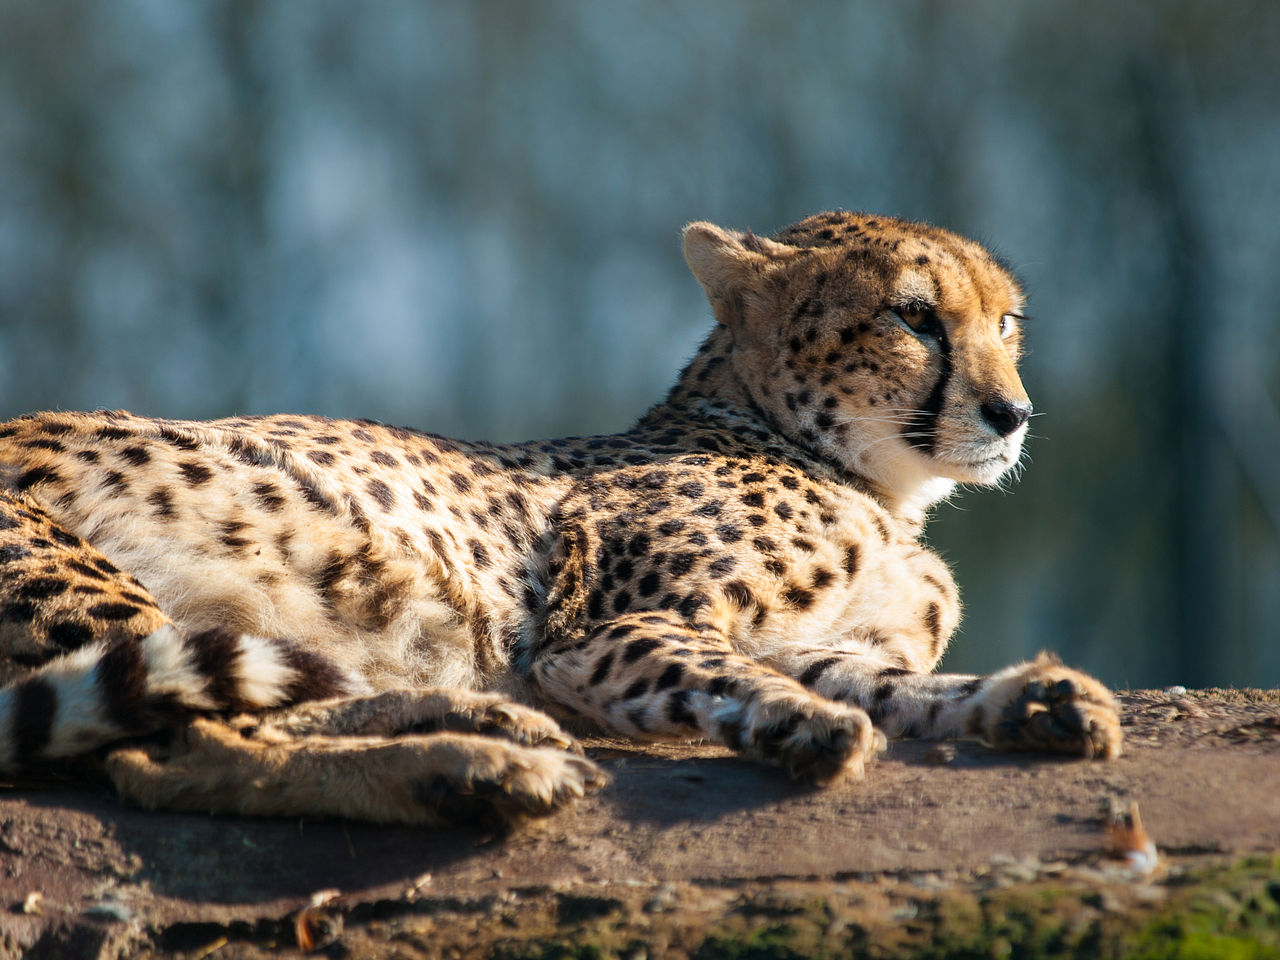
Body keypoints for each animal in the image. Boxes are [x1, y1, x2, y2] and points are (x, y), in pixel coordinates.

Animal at [0, 213, 1121, 829]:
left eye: (1005, 322)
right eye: (913, 317)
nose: (1012, 412)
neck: (874, 486)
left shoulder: (827, 643)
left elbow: (904, 686)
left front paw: (1027, 699)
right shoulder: (600, 634)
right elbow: (730, 677)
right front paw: (799, 725)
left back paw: (474, 732)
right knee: (176, 743)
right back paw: (477, 758)